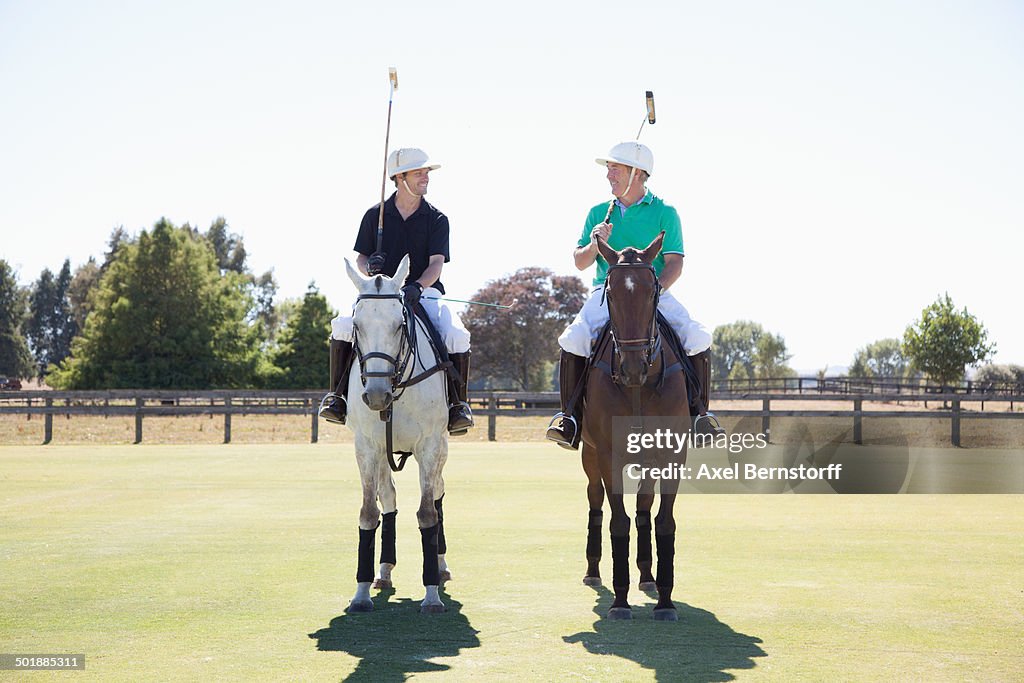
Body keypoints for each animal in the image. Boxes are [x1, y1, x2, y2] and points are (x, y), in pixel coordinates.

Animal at [344, 254, 448, 614]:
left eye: (399, 325)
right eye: (356, 325)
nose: (376, 396)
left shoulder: (429, 444)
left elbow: (428, 513)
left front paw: (431, 595)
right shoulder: (366, 445)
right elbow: (368, 512)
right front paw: (360, 593)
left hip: (440, 448)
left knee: (437, 493)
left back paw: (441, 567)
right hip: (382, 453)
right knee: (388, 497)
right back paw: (384, 570)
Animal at [581, 232, 692, 622]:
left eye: (653, 292)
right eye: (611, 294)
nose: (631, 369)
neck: (638, 390)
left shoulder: (673, 455)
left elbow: (664, 522)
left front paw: (665, 601)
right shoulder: (609, 455)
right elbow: (618, 521)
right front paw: (619, 601)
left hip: (649, 460)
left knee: (645, 507)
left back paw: (647, 576)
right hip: (589, 456)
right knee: (595, 502)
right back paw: (593, 570)